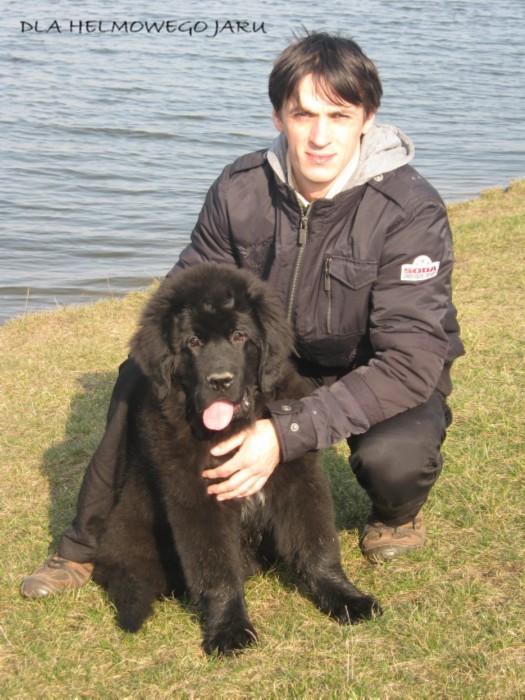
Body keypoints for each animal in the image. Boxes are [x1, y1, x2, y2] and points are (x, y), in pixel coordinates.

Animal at [93, 264, 381, 655]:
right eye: (194, 342)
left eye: (238, 336)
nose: (220, 380)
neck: (233, 430)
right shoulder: (197, 498)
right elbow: (217, 571)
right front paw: (229, 629)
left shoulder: (298, 478)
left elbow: (317, 545)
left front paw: (346, 598)